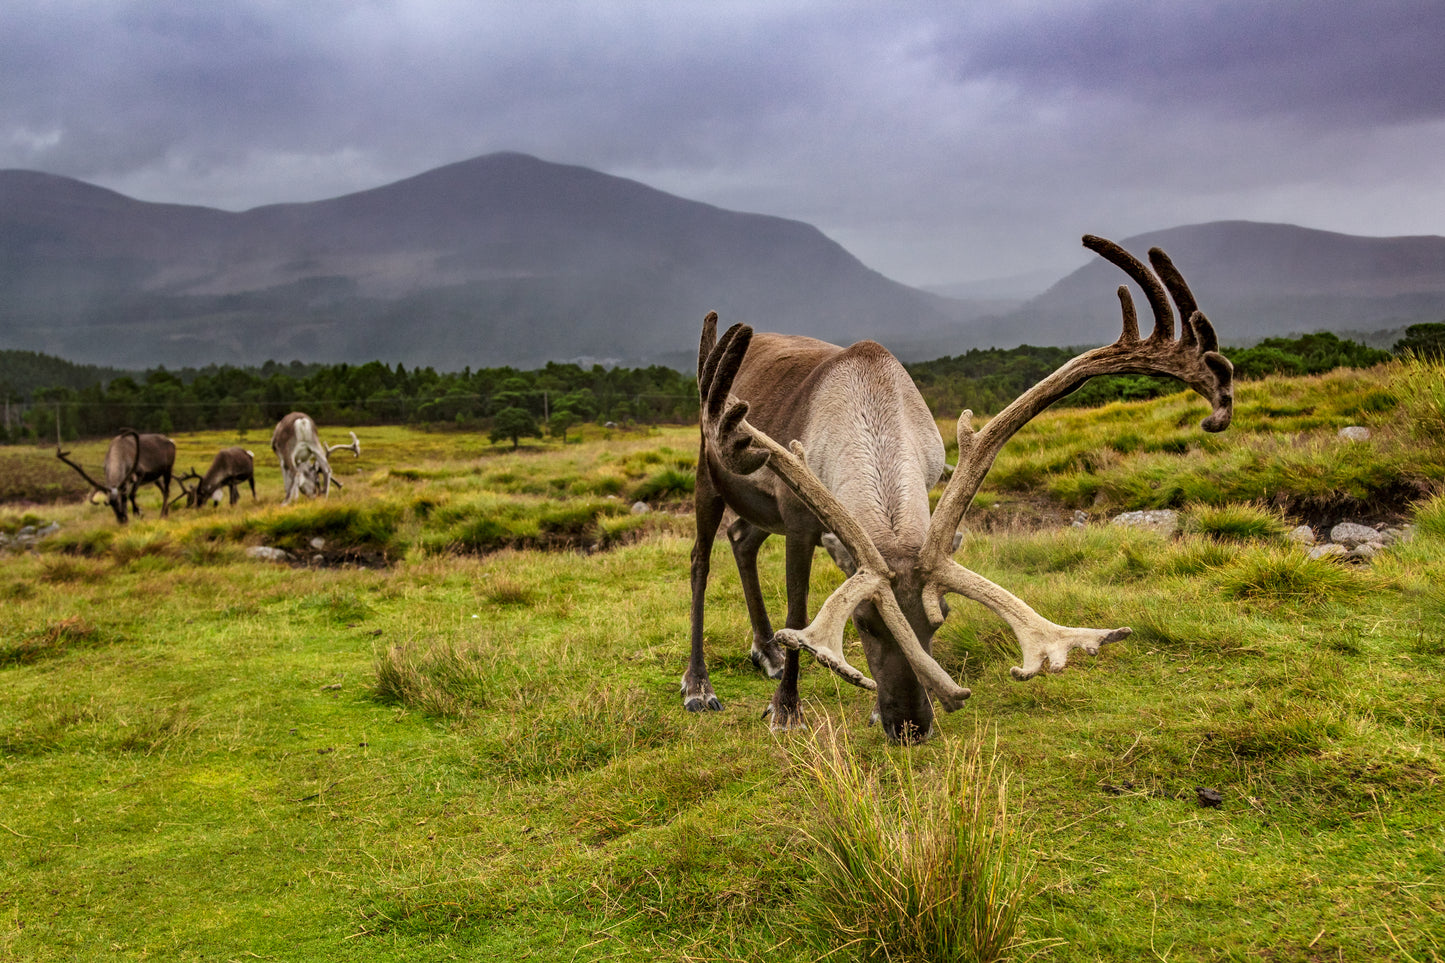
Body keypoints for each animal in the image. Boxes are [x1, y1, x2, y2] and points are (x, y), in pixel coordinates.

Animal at [684, 234, 1231, 740]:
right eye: (861, 623)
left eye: (940, 618)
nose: (910, 726)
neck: (869, 411)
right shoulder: (799, 520)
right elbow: (798, 611)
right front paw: (785, 709)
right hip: (712, 468)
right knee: (701, 561)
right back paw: (699, 685)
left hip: (758, 508)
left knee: (741, 538)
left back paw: (766, 650)